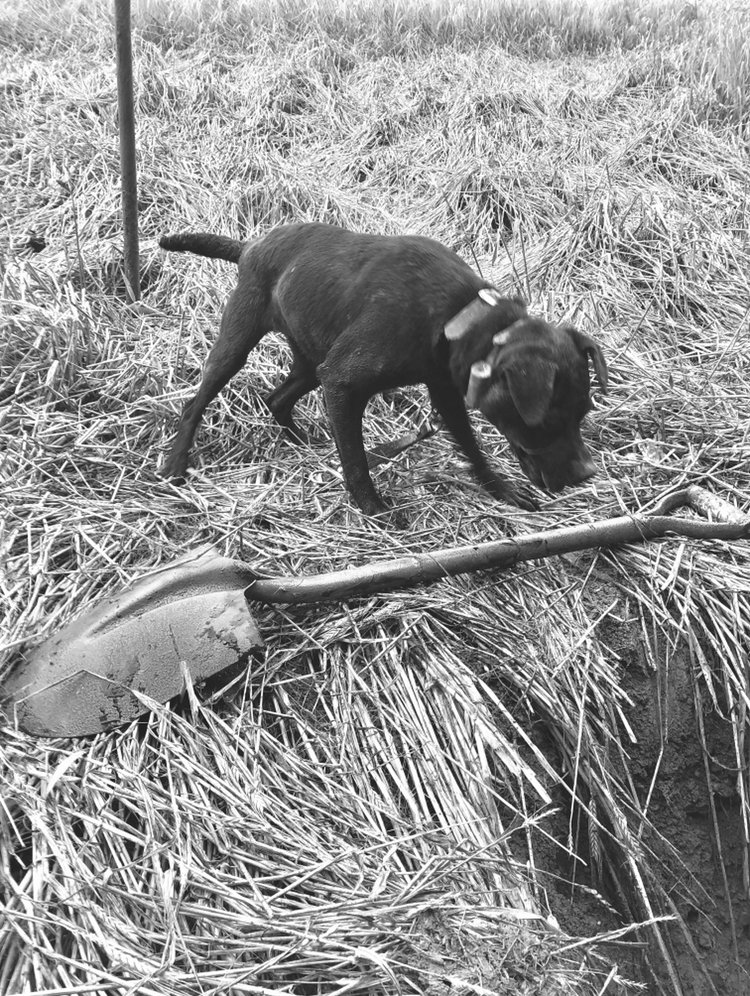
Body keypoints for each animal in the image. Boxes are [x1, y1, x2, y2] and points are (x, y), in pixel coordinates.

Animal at [159, 223, 607, 515]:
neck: (456, 317)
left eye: (583, 412)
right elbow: (356, 462)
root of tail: (251, 246)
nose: (587, 474)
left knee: (277, 399)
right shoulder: (342, 381)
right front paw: (373, 509)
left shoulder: (445, 394)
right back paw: (176, 464)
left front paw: (501, 490)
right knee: (195, 404)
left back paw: (301, 440)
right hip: (238, 342)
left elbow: (472, 449)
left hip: (311, 361)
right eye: (548, 419)